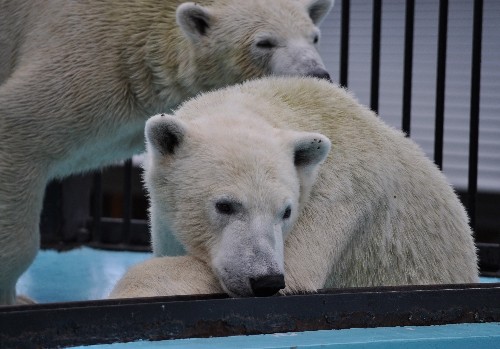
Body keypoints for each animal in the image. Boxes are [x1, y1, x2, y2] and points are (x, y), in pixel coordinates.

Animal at [0, 0, 336, 304]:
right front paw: (16, 299)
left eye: (314, 36)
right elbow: (19, 123)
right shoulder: (83, 51)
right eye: (264, 42)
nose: (316, 73)